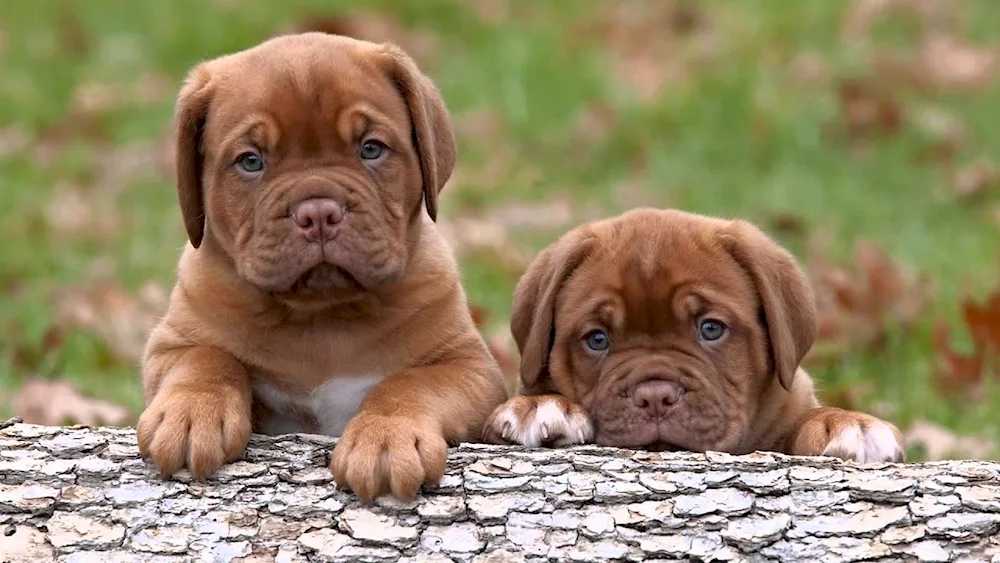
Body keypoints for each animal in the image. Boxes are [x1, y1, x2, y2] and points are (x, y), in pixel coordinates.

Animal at [135, 32, 508, 502]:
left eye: (371, 149)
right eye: (251, 160)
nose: (318, 213)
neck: (322, 314)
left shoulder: (469, 367)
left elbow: (409, 384)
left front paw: (386, 438)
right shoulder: (172, 344)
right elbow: (206, 359)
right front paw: (190, 413)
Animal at [484, 207, 908, 462]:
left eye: (711, 329)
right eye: (597, 339)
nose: (655, 396)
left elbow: (806, 417)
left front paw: (847, 424)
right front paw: (541, 406)